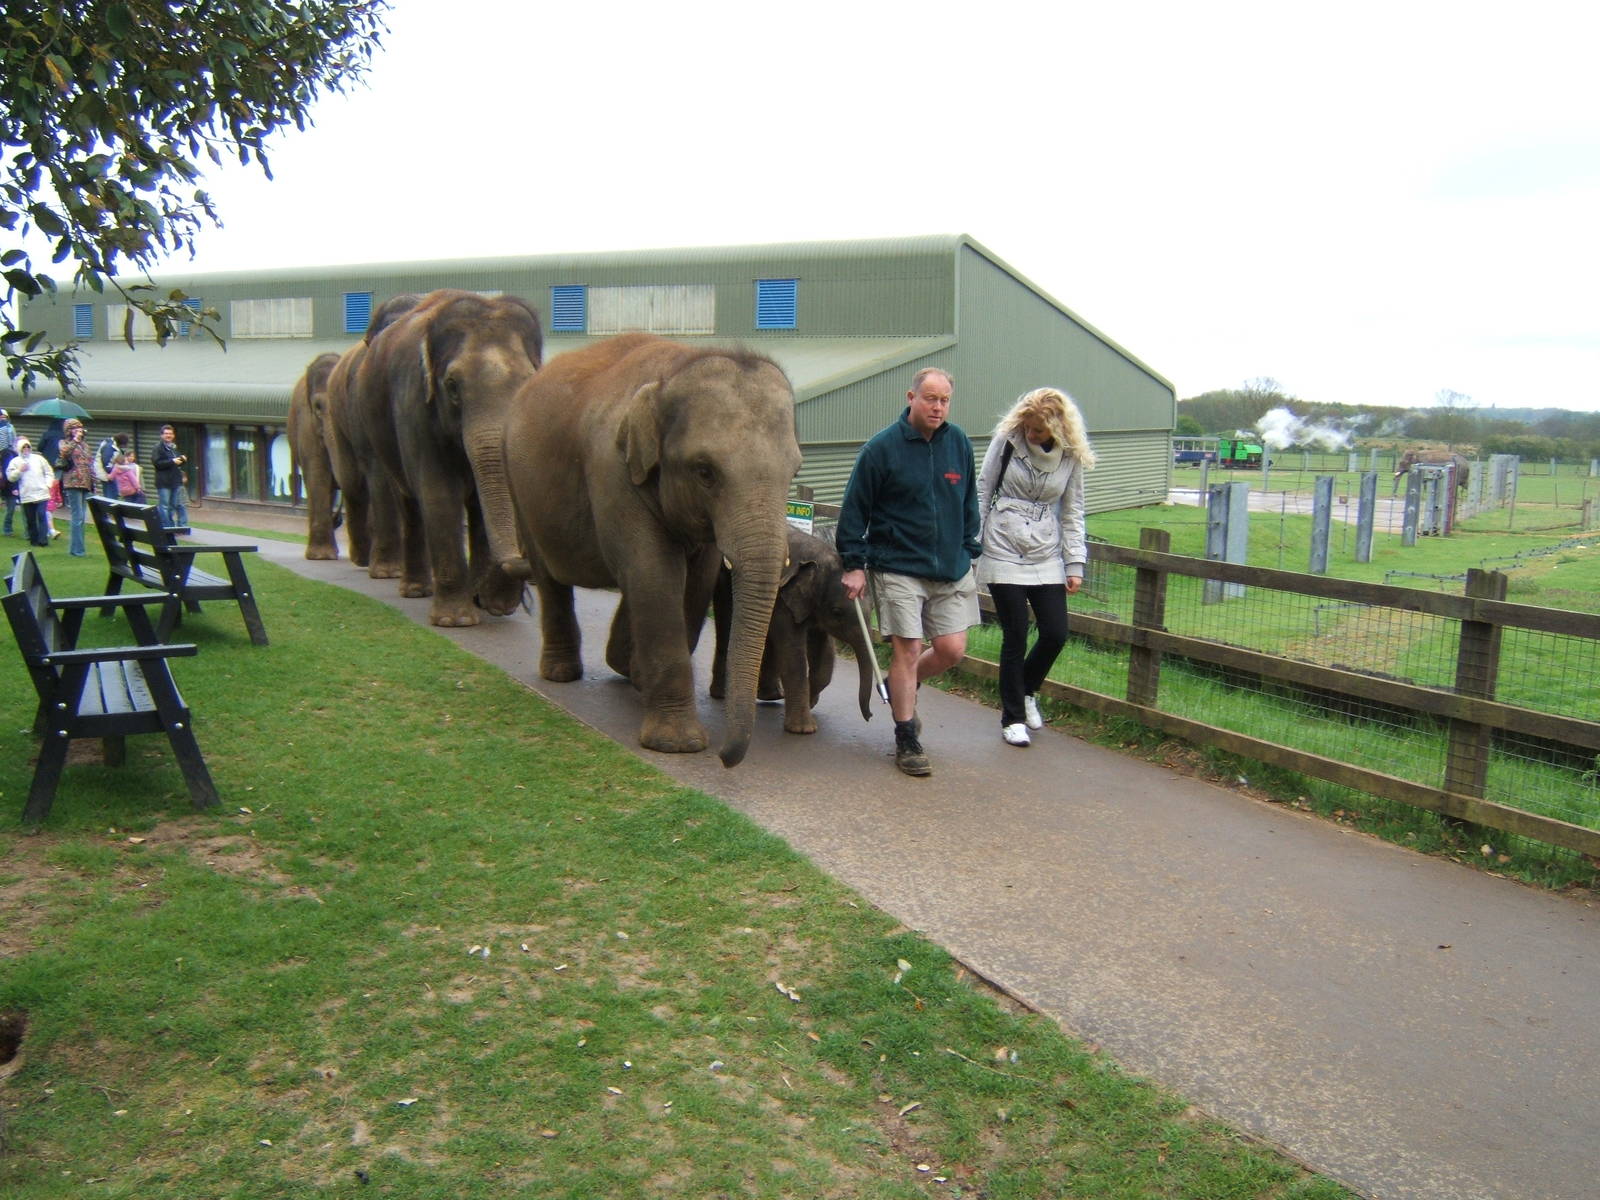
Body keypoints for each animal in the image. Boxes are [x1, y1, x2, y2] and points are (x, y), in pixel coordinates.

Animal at [353, 289, 541, 626]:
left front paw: (489, 604)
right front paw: (457, 621)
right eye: (452, 386)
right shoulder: (414, 404)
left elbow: (482, 500)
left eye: (527, 381)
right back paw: (416, 590)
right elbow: (439, 493)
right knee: (408, 500)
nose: (508, 601)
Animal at [502, 332, 801, 767]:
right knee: (550, 576)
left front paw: (642, 682)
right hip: (518, 485)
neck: (673, 372)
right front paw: (678, 745)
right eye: (705, 472)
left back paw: (624, 667)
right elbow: (654, 572)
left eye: (795, 471)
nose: (724, 757)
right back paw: (562, 673)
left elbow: (694, 580)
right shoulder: (612, 471)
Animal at [709, 527, 876, 735]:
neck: (819, 557)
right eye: (837, 611)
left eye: (873, 608)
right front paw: (804, 730)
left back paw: (771, 695)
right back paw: (723, 695)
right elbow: (792, 651)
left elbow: (823, 653)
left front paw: (811, 703)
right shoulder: (782, 596)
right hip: (723, 582)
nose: (870, 716)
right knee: (727, 622)